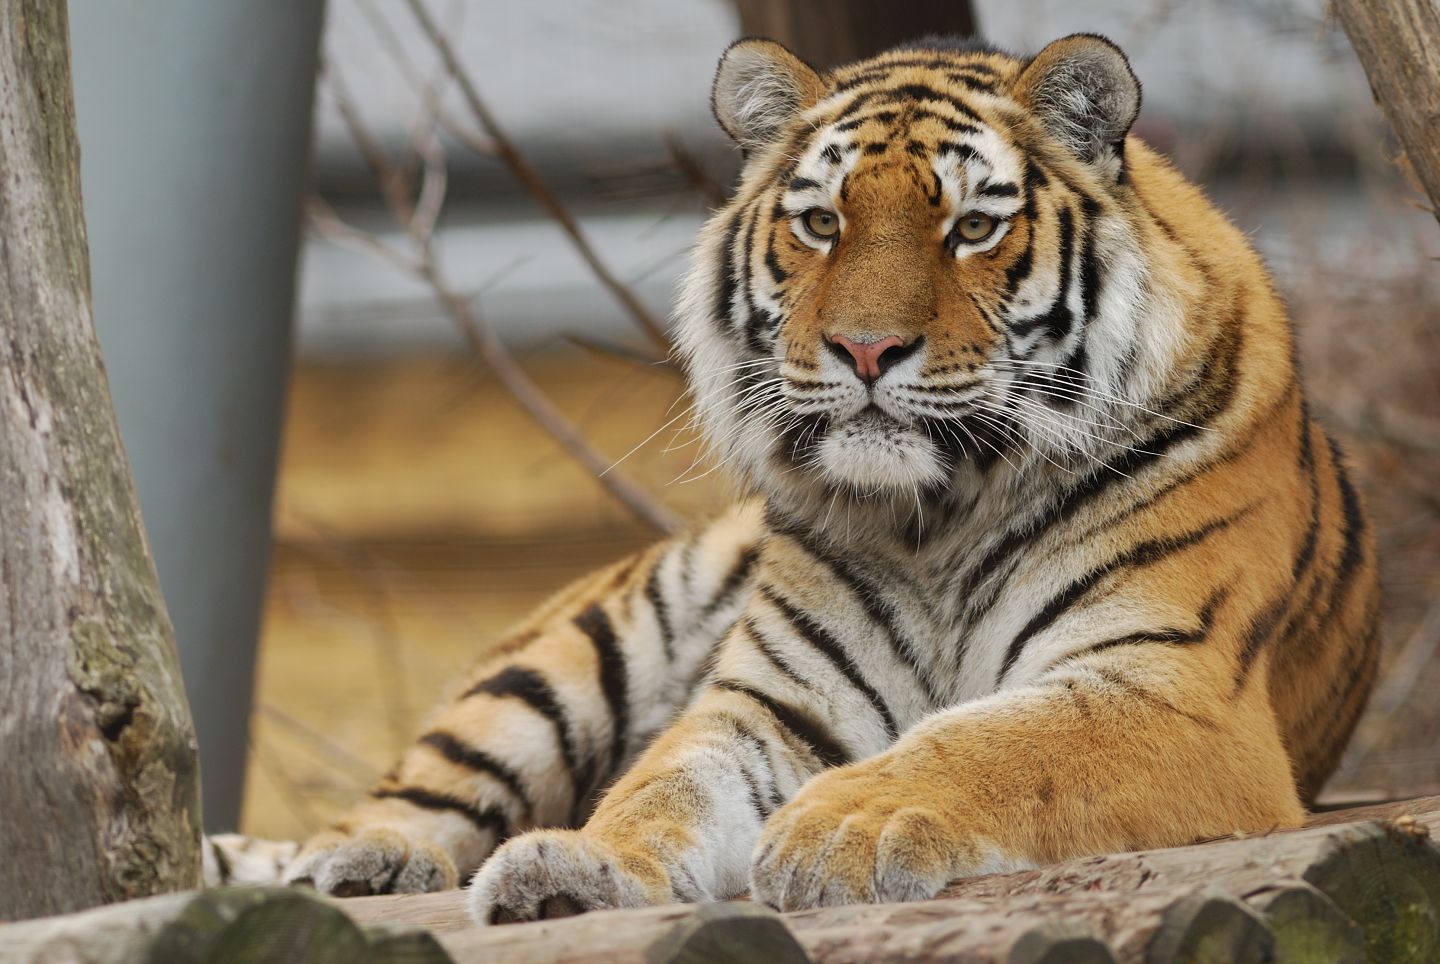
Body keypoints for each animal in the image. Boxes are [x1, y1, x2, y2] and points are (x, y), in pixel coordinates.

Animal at [259, 33, 1381, 922]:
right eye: (822, 223)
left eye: (973, 227)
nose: (866, 349)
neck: (940, 517)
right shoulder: (769, 706)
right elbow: (660, 787)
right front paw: (578, 864)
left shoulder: (1166, 685)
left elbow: (989, 743)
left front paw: (841, 825)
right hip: (572, 653)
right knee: (413, 792)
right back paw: (354, 862)